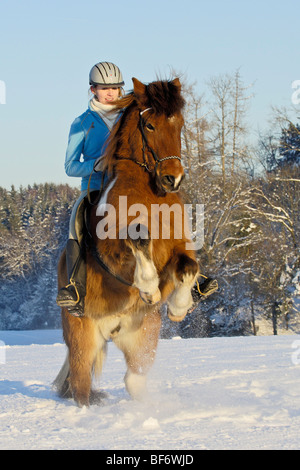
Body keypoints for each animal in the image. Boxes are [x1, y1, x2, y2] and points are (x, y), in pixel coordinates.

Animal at [54, 75, 199, 406]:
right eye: (150, 126)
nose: (173, 179)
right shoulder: (113, 253)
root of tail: (113, 330)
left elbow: (189, 267)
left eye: (179, 123)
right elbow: (138, 238)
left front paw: (178, 307)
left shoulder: (178, 248)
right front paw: (148, 287)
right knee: (80, 386)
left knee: (134, 380)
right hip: (82, 338)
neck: (150, 195)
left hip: (143, 337)